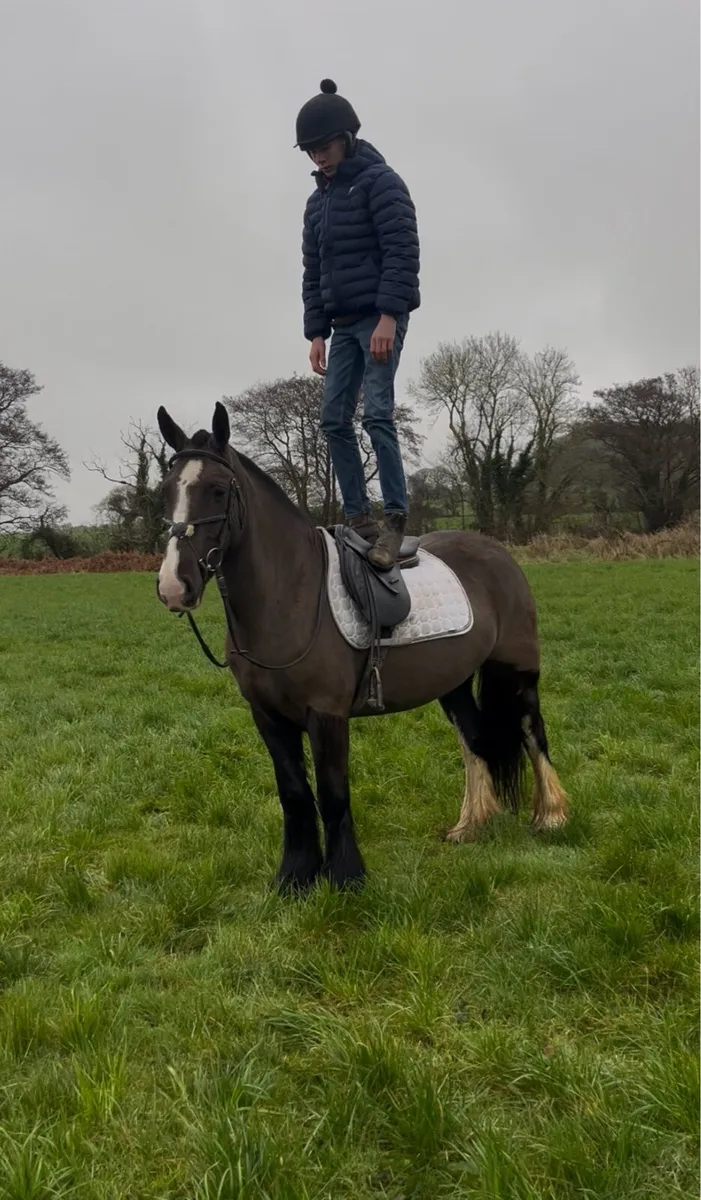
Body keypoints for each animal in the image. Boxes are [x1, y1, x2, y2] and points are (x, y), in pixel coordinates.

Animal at [155, 402, 569, 891]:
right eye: (166, 491)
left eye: (218, 491)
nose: (174, 586)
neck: (290, 595)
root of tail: (497, 552)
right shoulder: (268, 717)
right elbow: (294, 794)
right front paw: (295, 877)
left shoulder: (326, 714)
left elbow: (333, 794)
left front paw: (346, 878)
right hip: (452, 683)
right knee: (474, 741)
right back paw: (470, 825)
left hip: (517, 670)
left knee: (531, 731)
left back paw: (551, 817)